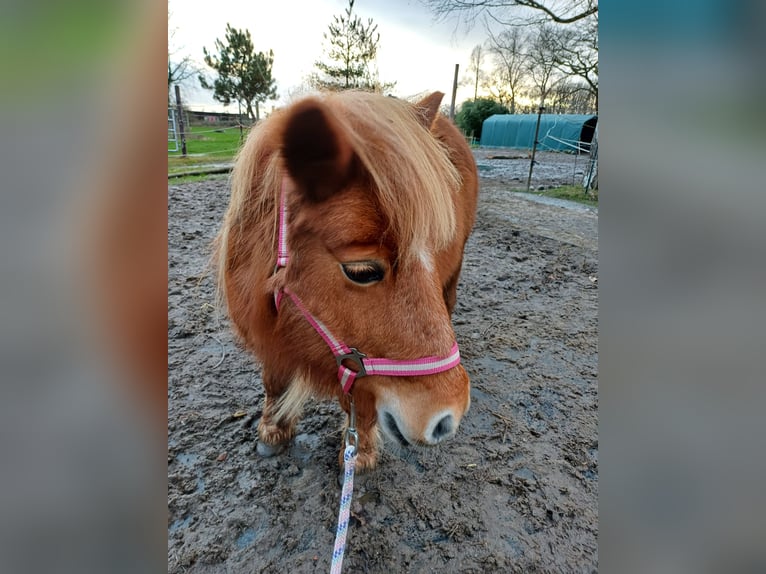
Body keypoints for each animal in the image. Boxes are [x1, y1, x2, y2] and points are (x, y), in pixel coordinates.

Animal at [216, 91, 476, 472]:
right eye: (362, 271)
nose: (447, 418)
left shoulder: (361, 373)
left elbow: (361, 405)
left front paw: (360, 453)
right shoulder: (269, 332)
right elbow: (273, 379)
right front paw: (272, 429)